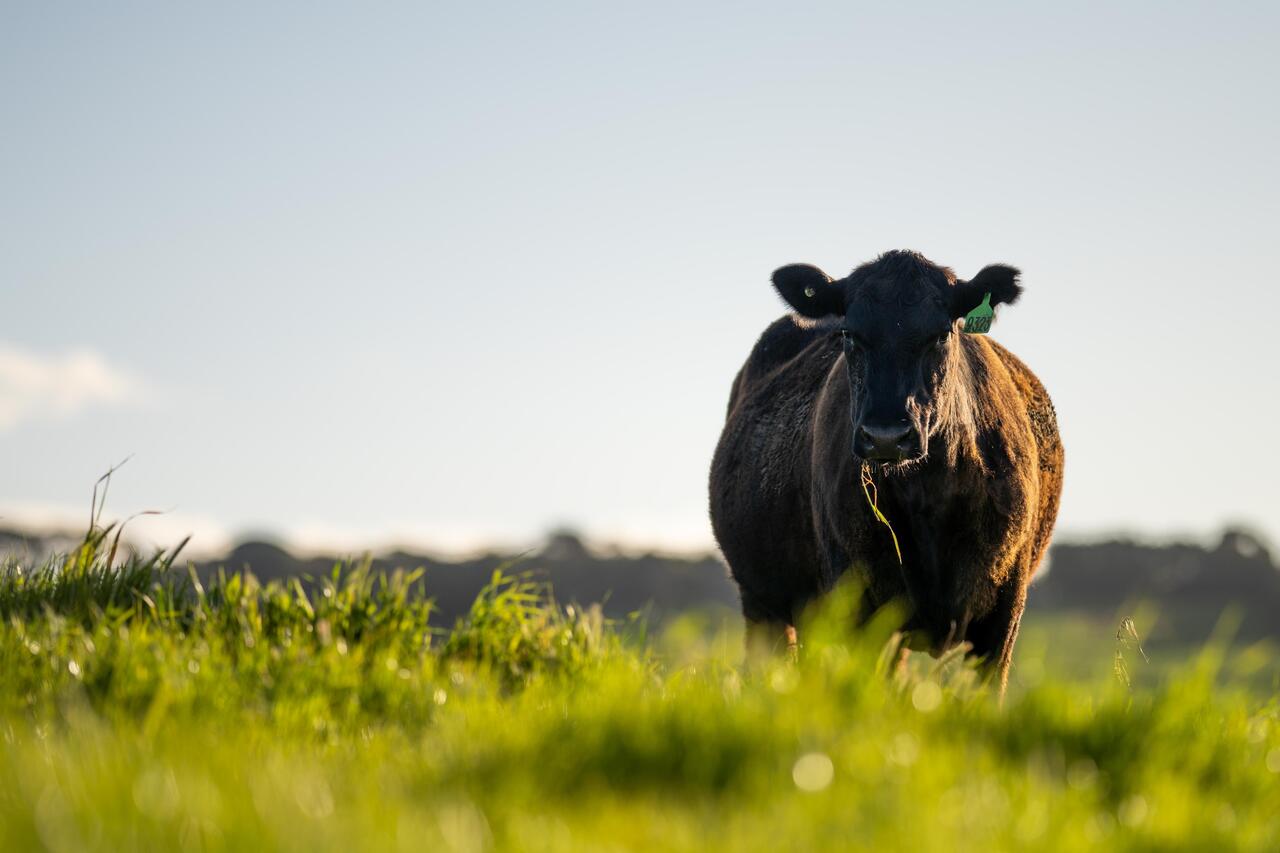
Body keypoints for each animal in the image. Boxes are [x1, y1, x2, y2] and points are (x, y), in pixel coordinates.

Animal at [709, 249, 1063, 693]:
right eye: (850, 335)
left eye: (941, 334)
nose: (886, 436)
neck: (928, 497)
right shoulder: (853, 605)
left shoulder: (1002, 615)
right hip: (763, 604)